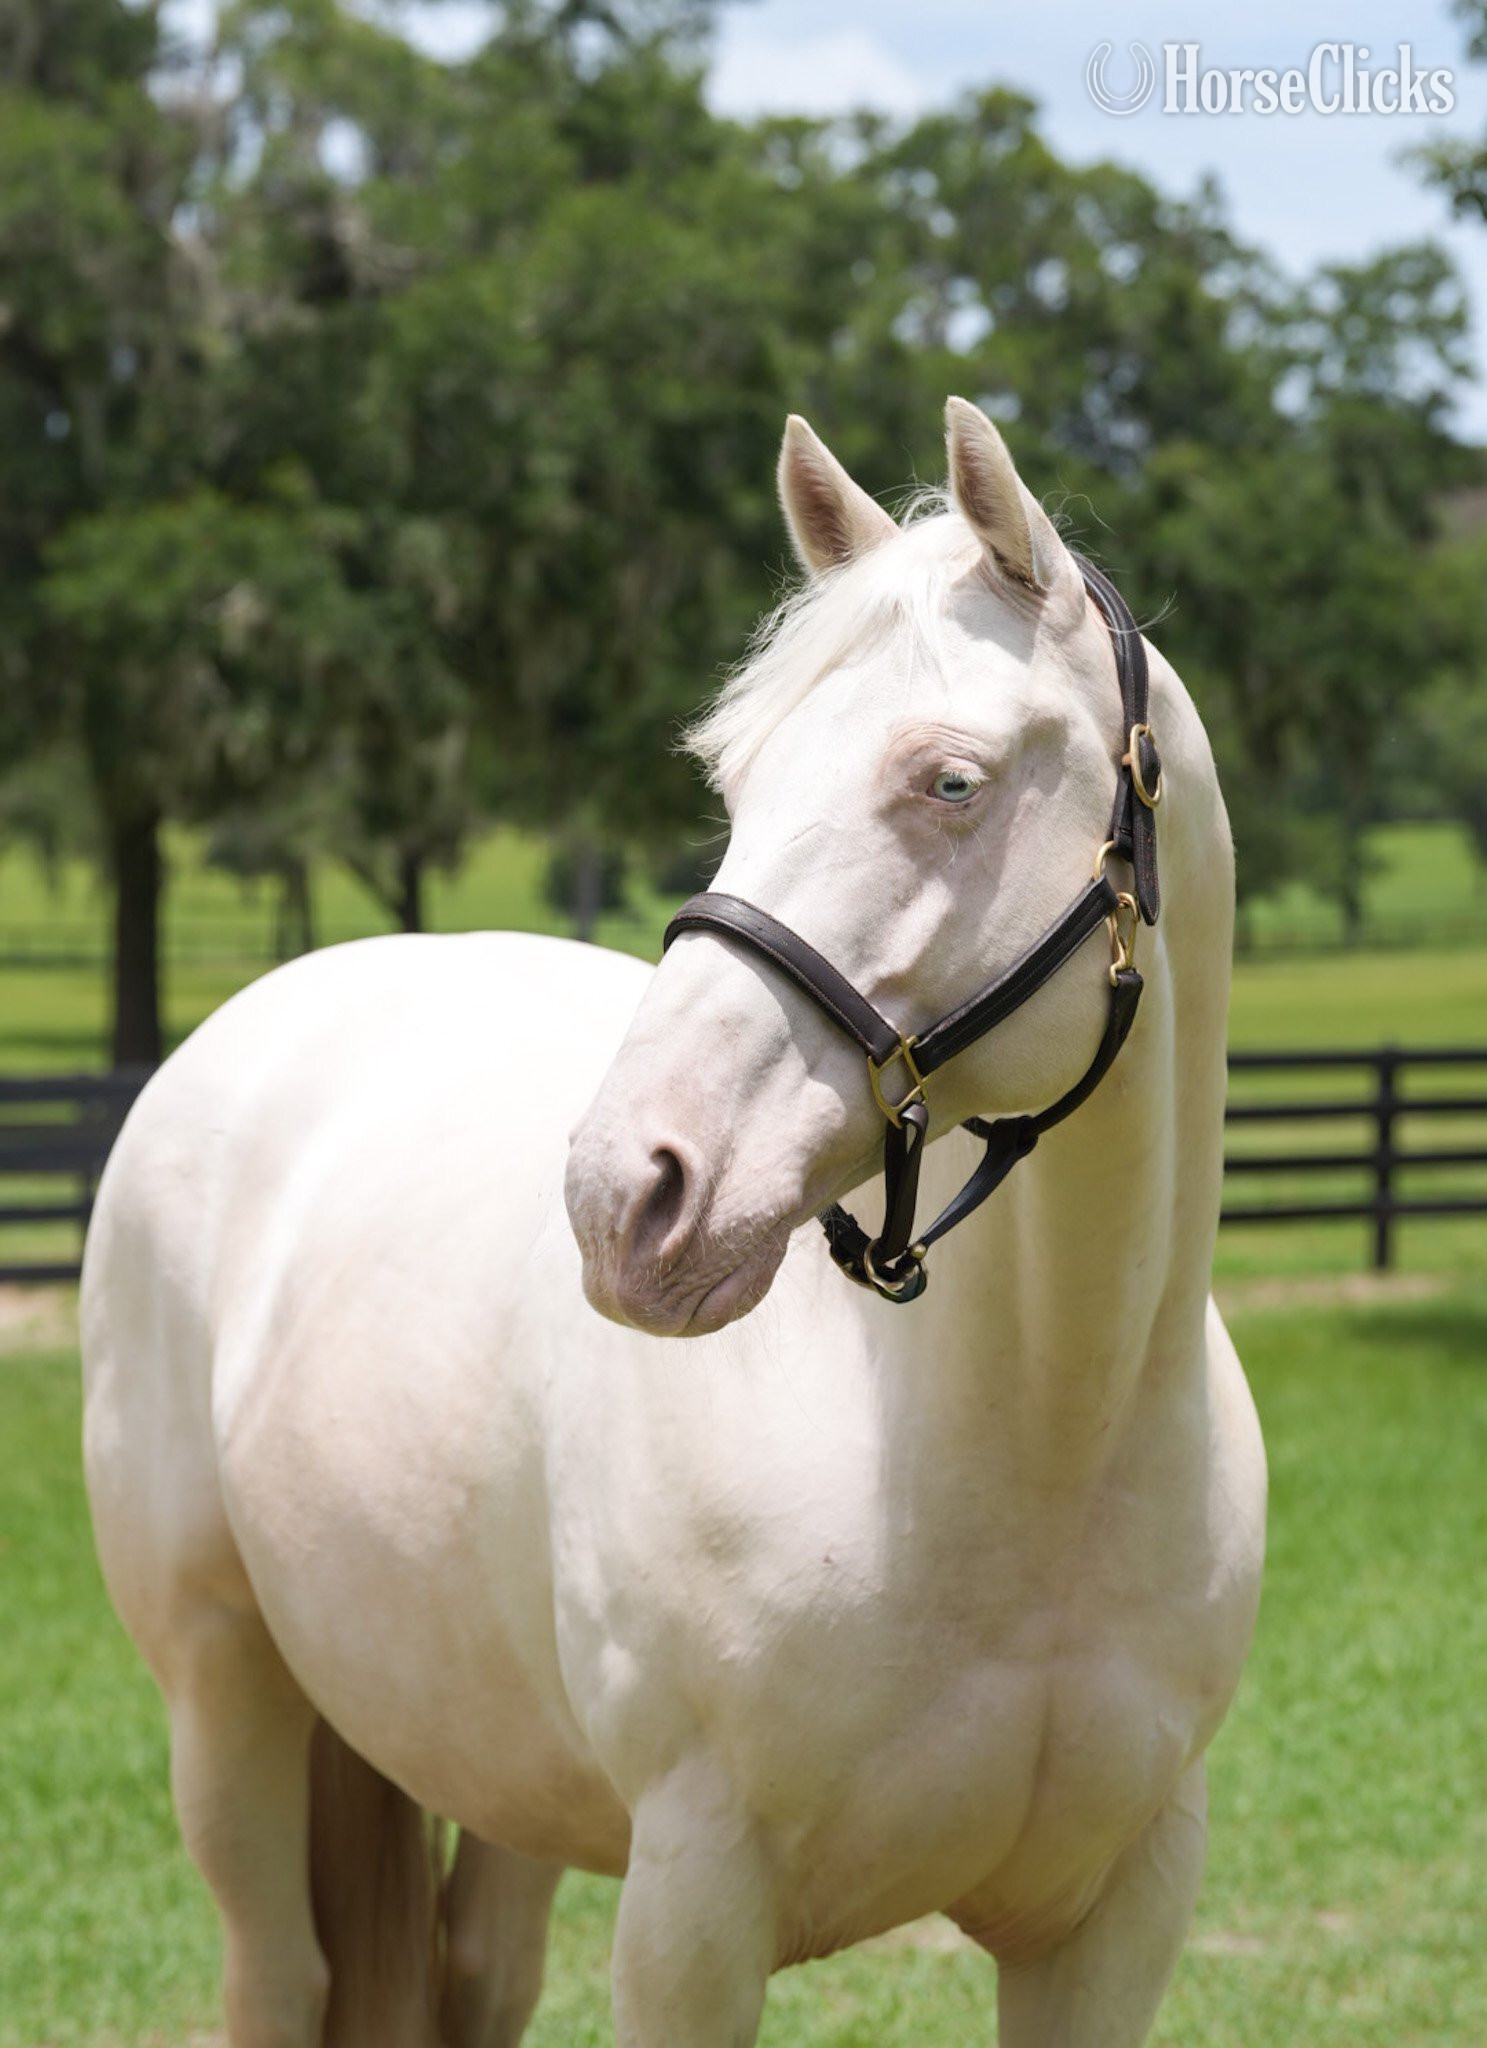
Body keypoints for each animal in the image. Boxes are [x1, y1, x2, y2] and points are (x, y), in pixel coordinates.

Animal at [81, 396, 1266, 2048]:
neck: (1033, 1458)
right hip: (228, 1697)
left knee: (475, 1972)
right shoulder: (692, 1916)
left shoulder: (1113, 1921)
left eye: (949, 782)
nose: (624, 1195)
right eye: (734, 784)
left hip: (491, 1754)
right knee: (281, 1973)